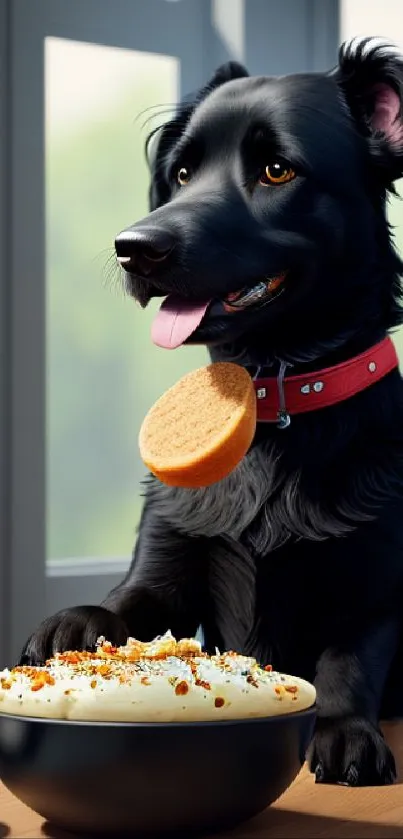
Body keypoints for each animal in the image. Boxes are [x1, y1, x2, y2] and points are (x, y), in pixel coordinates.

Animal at [22, 39, 403, 788]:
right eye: (182, 171)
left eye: (277, 169)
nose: (132, 247)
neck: (274, 404)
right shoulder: (168, 559)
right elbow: (128, 603)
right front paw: (76, 621)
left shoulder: (377, 581)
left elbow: (351, 654)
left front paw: (345, 732)